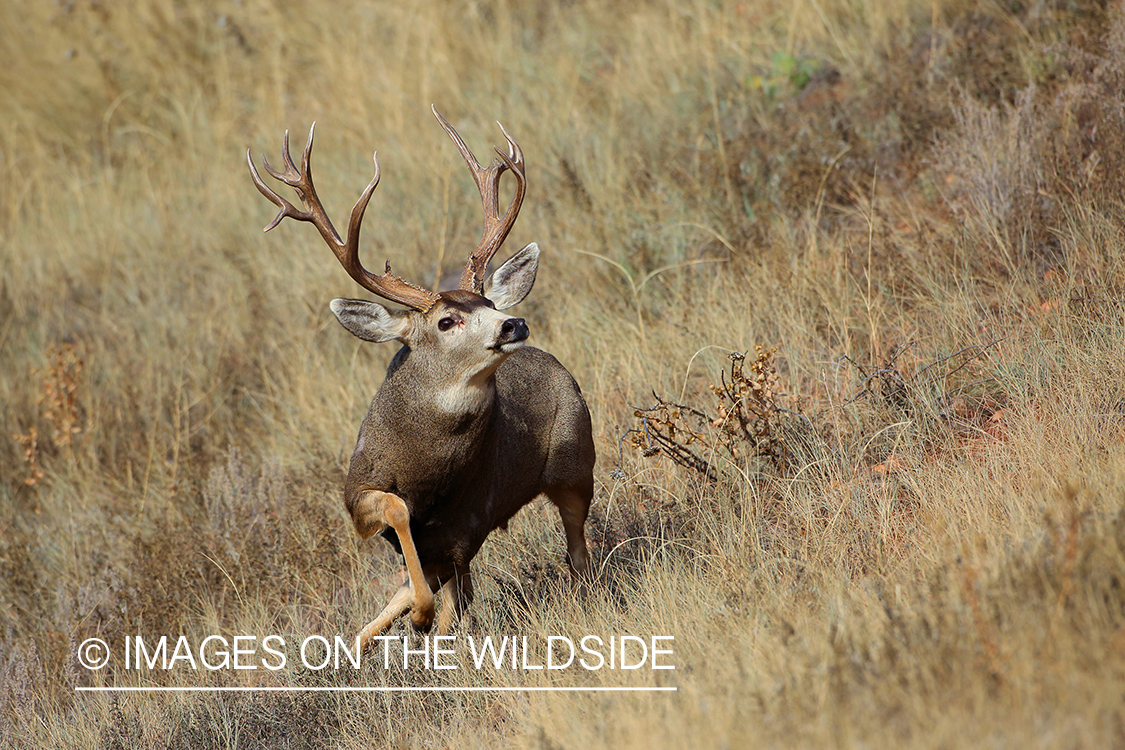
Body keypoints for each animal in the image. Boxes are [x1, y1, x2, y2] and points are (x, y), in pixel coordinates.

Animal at [247, 107, 595, 648]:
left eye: (489, 302)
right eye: (446, 321)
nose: (513, 323)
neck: (427, 474)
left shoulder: (465, 526)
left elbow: (435, 593)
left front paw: (420, 618)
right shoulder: (359, 495)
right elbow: (397, 516)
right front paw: (402, 623)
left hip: (575, 462)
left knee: (576, 551)